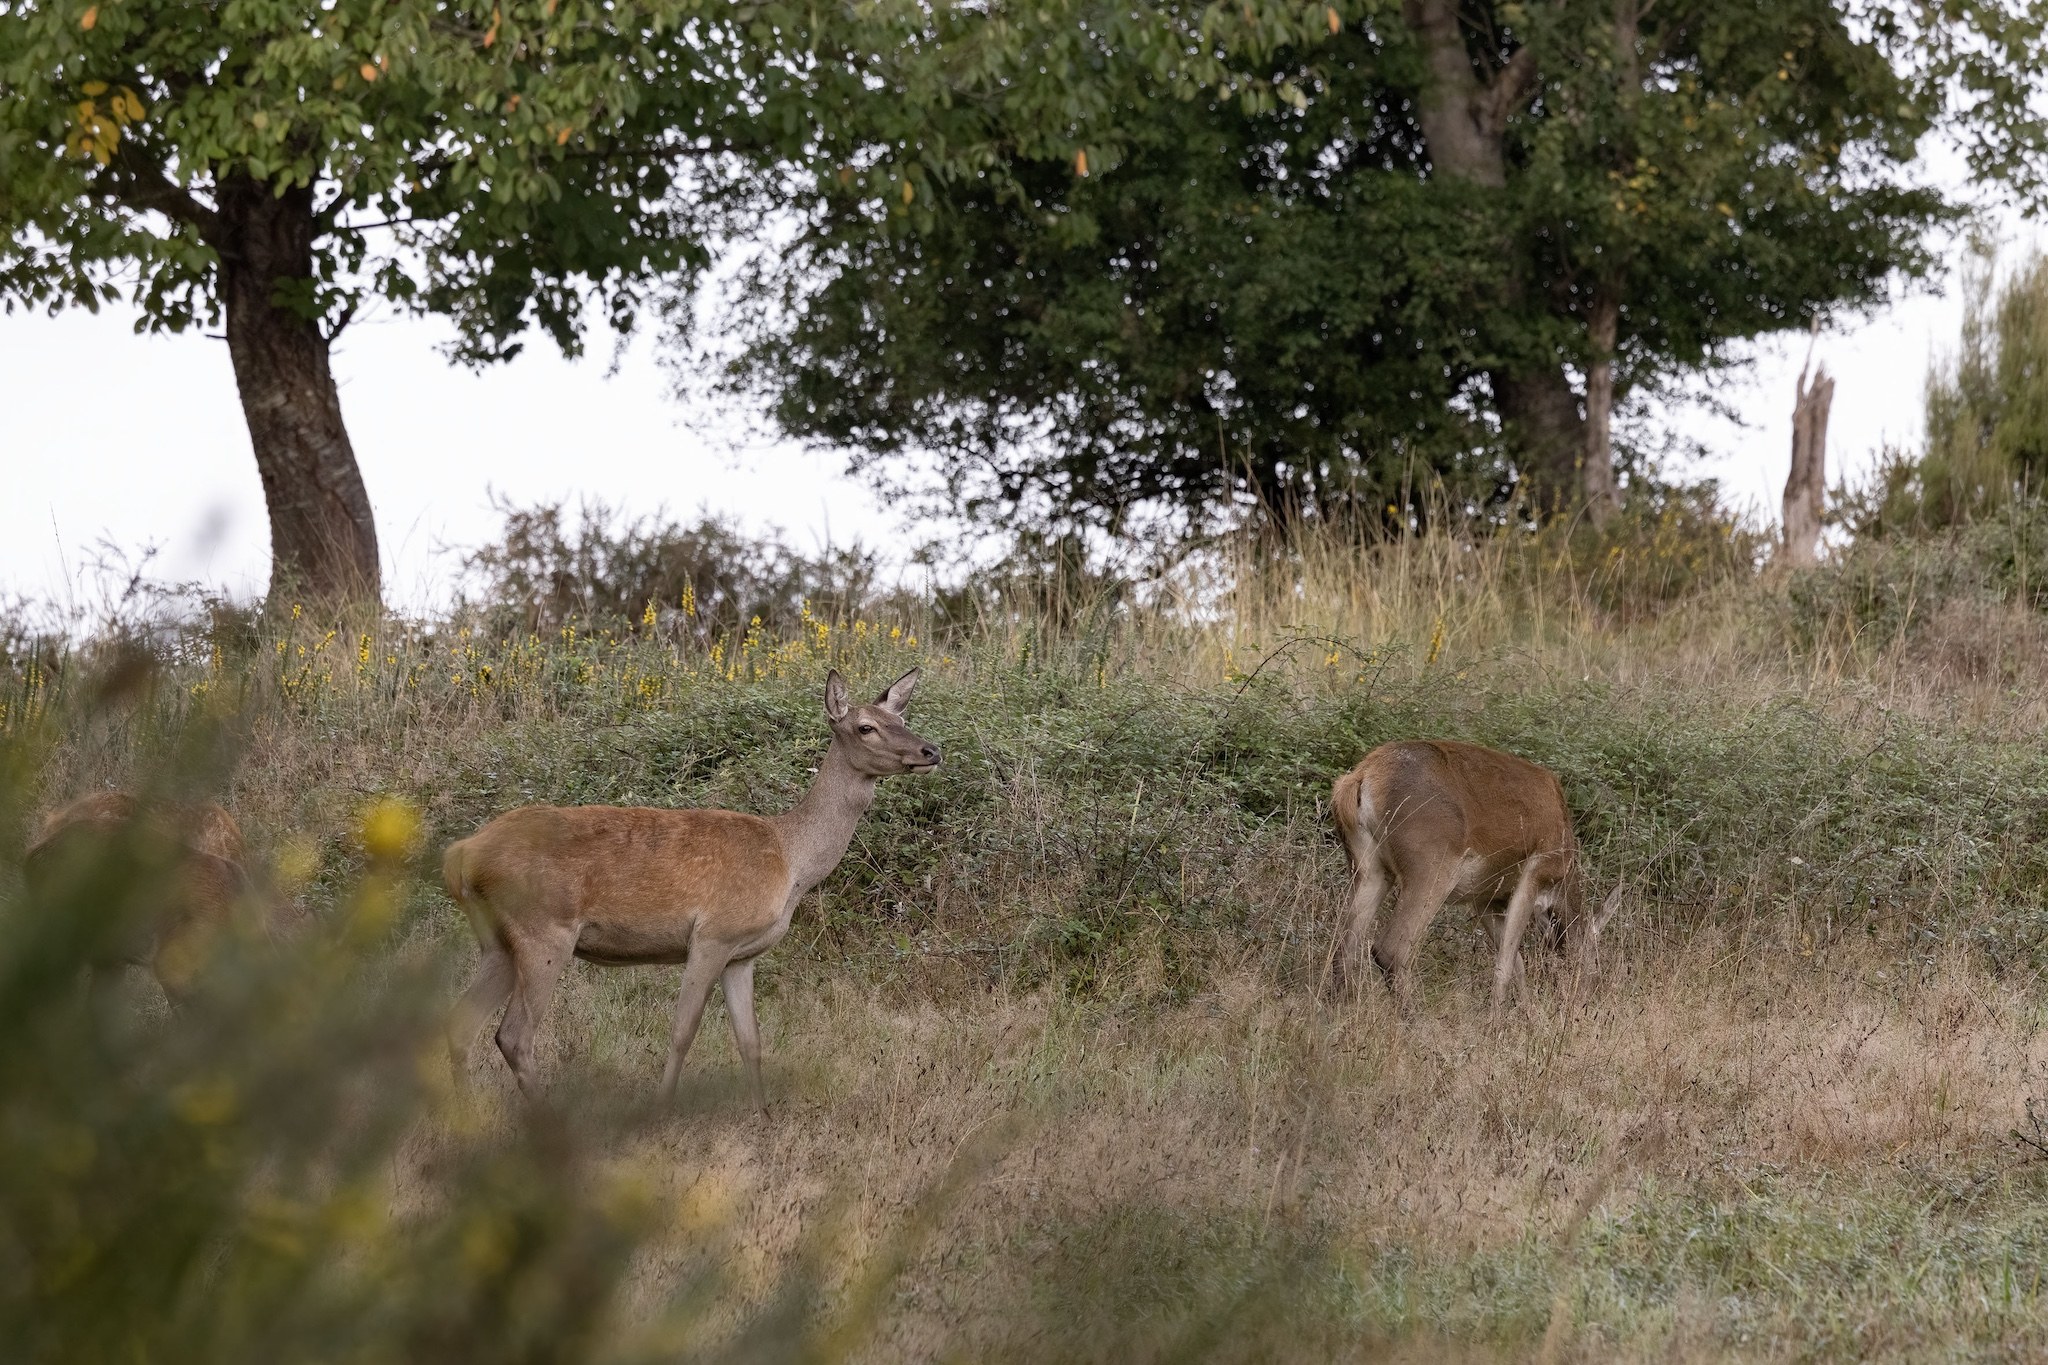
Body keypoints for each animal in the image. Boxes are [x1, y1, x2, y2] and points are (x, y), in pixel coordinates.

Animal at [442, 667, 940, 1109]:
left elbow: (751, 1040)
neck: (791, 862)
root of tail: (462, 854)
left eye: (902, 719)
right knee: (514, 1035)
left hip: (497, 942)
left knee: (461, 1026)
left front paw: (763, 1117)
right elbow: (683, 1030)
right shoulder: (713, 934)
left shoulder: (743, 955)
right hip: (544, 929)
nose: (931, 750)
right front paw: (662, 1108)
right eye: (866, 727)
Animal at [1329, 740, 1620, 1013]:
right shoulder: (1535, 873)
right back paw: (1415, 1020)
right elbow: (1505, 963)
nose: (1586, 1002)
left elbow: (1516, 963)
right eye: (1596, 962)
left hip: (1369, 868)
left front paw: (1528, 1014)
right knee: (1390, 949)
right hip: (1432, 864)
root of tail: (1360, 779)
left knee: (1344, 947)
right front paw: (1500, 1023)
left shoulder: (1484, 898)